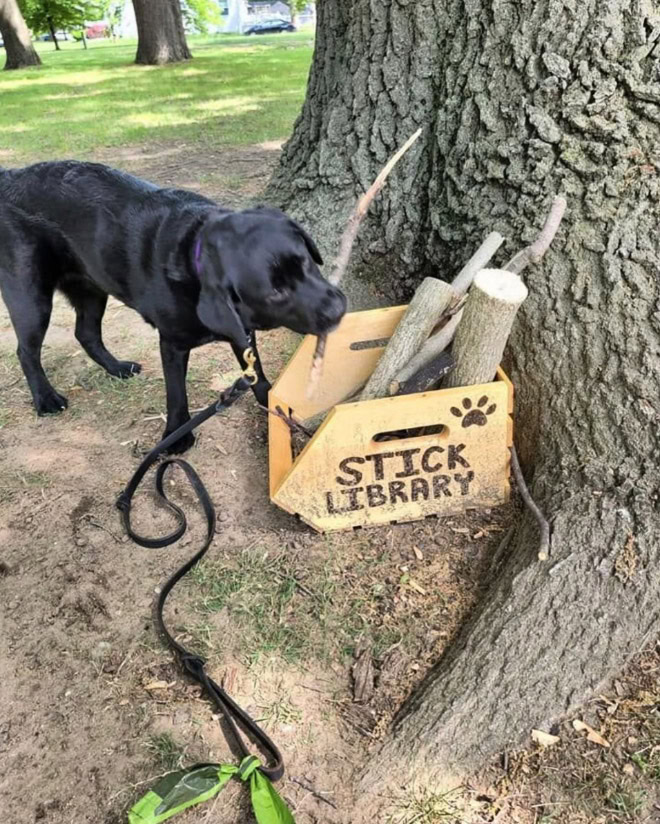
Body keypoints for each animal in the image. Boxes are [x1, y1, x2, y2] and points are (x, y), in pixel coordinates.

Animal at [0, 163, 348, 450]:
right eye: (275, 291)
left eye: (306, 262)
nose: (337, 309)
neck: (194, 262)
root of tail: (10, 176)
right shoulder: (173, 343)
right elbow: (176, 393)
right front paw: (176, 435)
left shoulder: (242, 332)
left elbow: (256, 374)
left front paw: (269, 402)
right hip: (31, 297)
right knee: (26, 351)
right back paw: (46, 398)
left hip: (91, 288)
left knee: (86, 333)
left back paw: (117, 368)